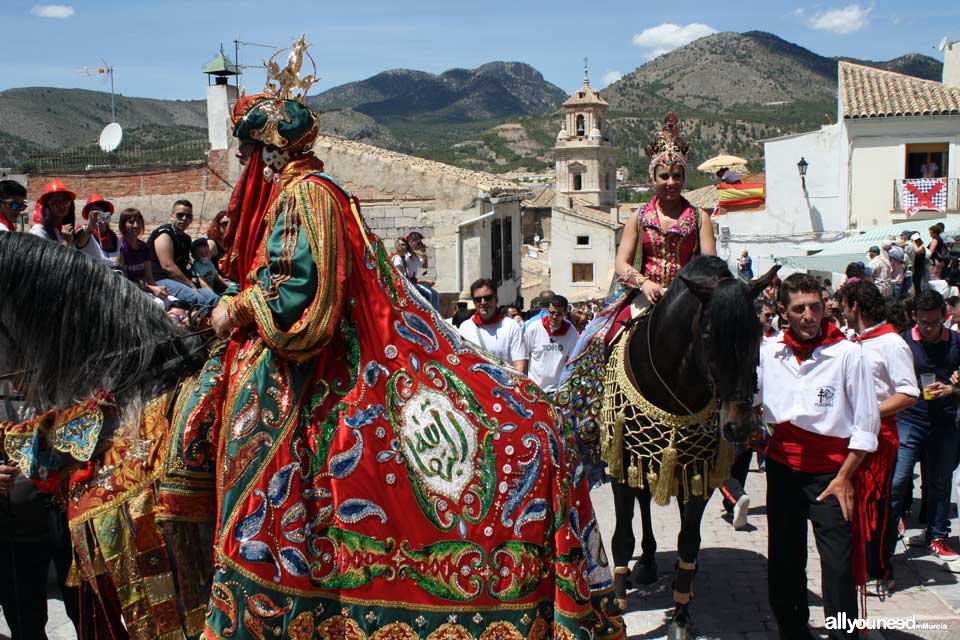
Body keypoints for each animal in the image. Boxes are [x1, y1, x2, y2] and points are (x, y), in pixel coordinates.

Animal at [596, 255, 776, 640]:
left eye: (757, 333)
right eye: (708, 335)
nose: (740, 426)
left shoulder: (698, 469)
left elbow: (688, 540)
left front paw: (680, 615)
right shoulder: (620, 461)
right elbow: (622, 536)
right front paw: (619, 604)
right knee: (642, 502)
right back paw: (643, 564)